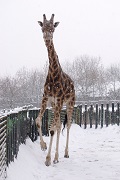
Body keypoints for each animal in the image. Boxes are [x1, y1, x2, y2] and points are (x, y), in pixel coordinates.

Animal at [35, 14, 75, 166]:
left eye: (52, 28)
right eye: (42, 28)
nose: (47, 38)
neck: (53, 74)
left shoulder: (58, 100)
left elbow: (52, 129)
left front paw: (48, 159)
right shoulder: (46, 98)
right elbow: (38, 121)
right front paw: (43, 146)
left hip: (69, 103)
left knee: (67, 125)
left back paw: (65, 153)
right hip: (54, 105)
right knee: (58, 125)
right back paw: (57, 157)